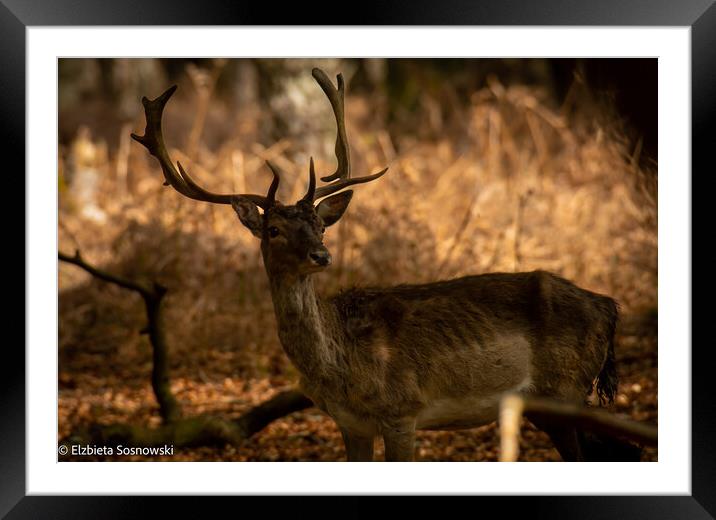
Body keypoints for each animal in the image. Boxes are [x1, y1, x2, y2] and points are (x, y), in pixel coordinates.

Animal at [131, 67, 624, 462]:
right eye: (273, 230)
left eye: (320, 225)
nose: (321, 255)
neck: (342, 369)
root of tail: (609, 306)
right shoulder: (350, 424)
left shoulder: (402, 410)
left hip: (565, 390)